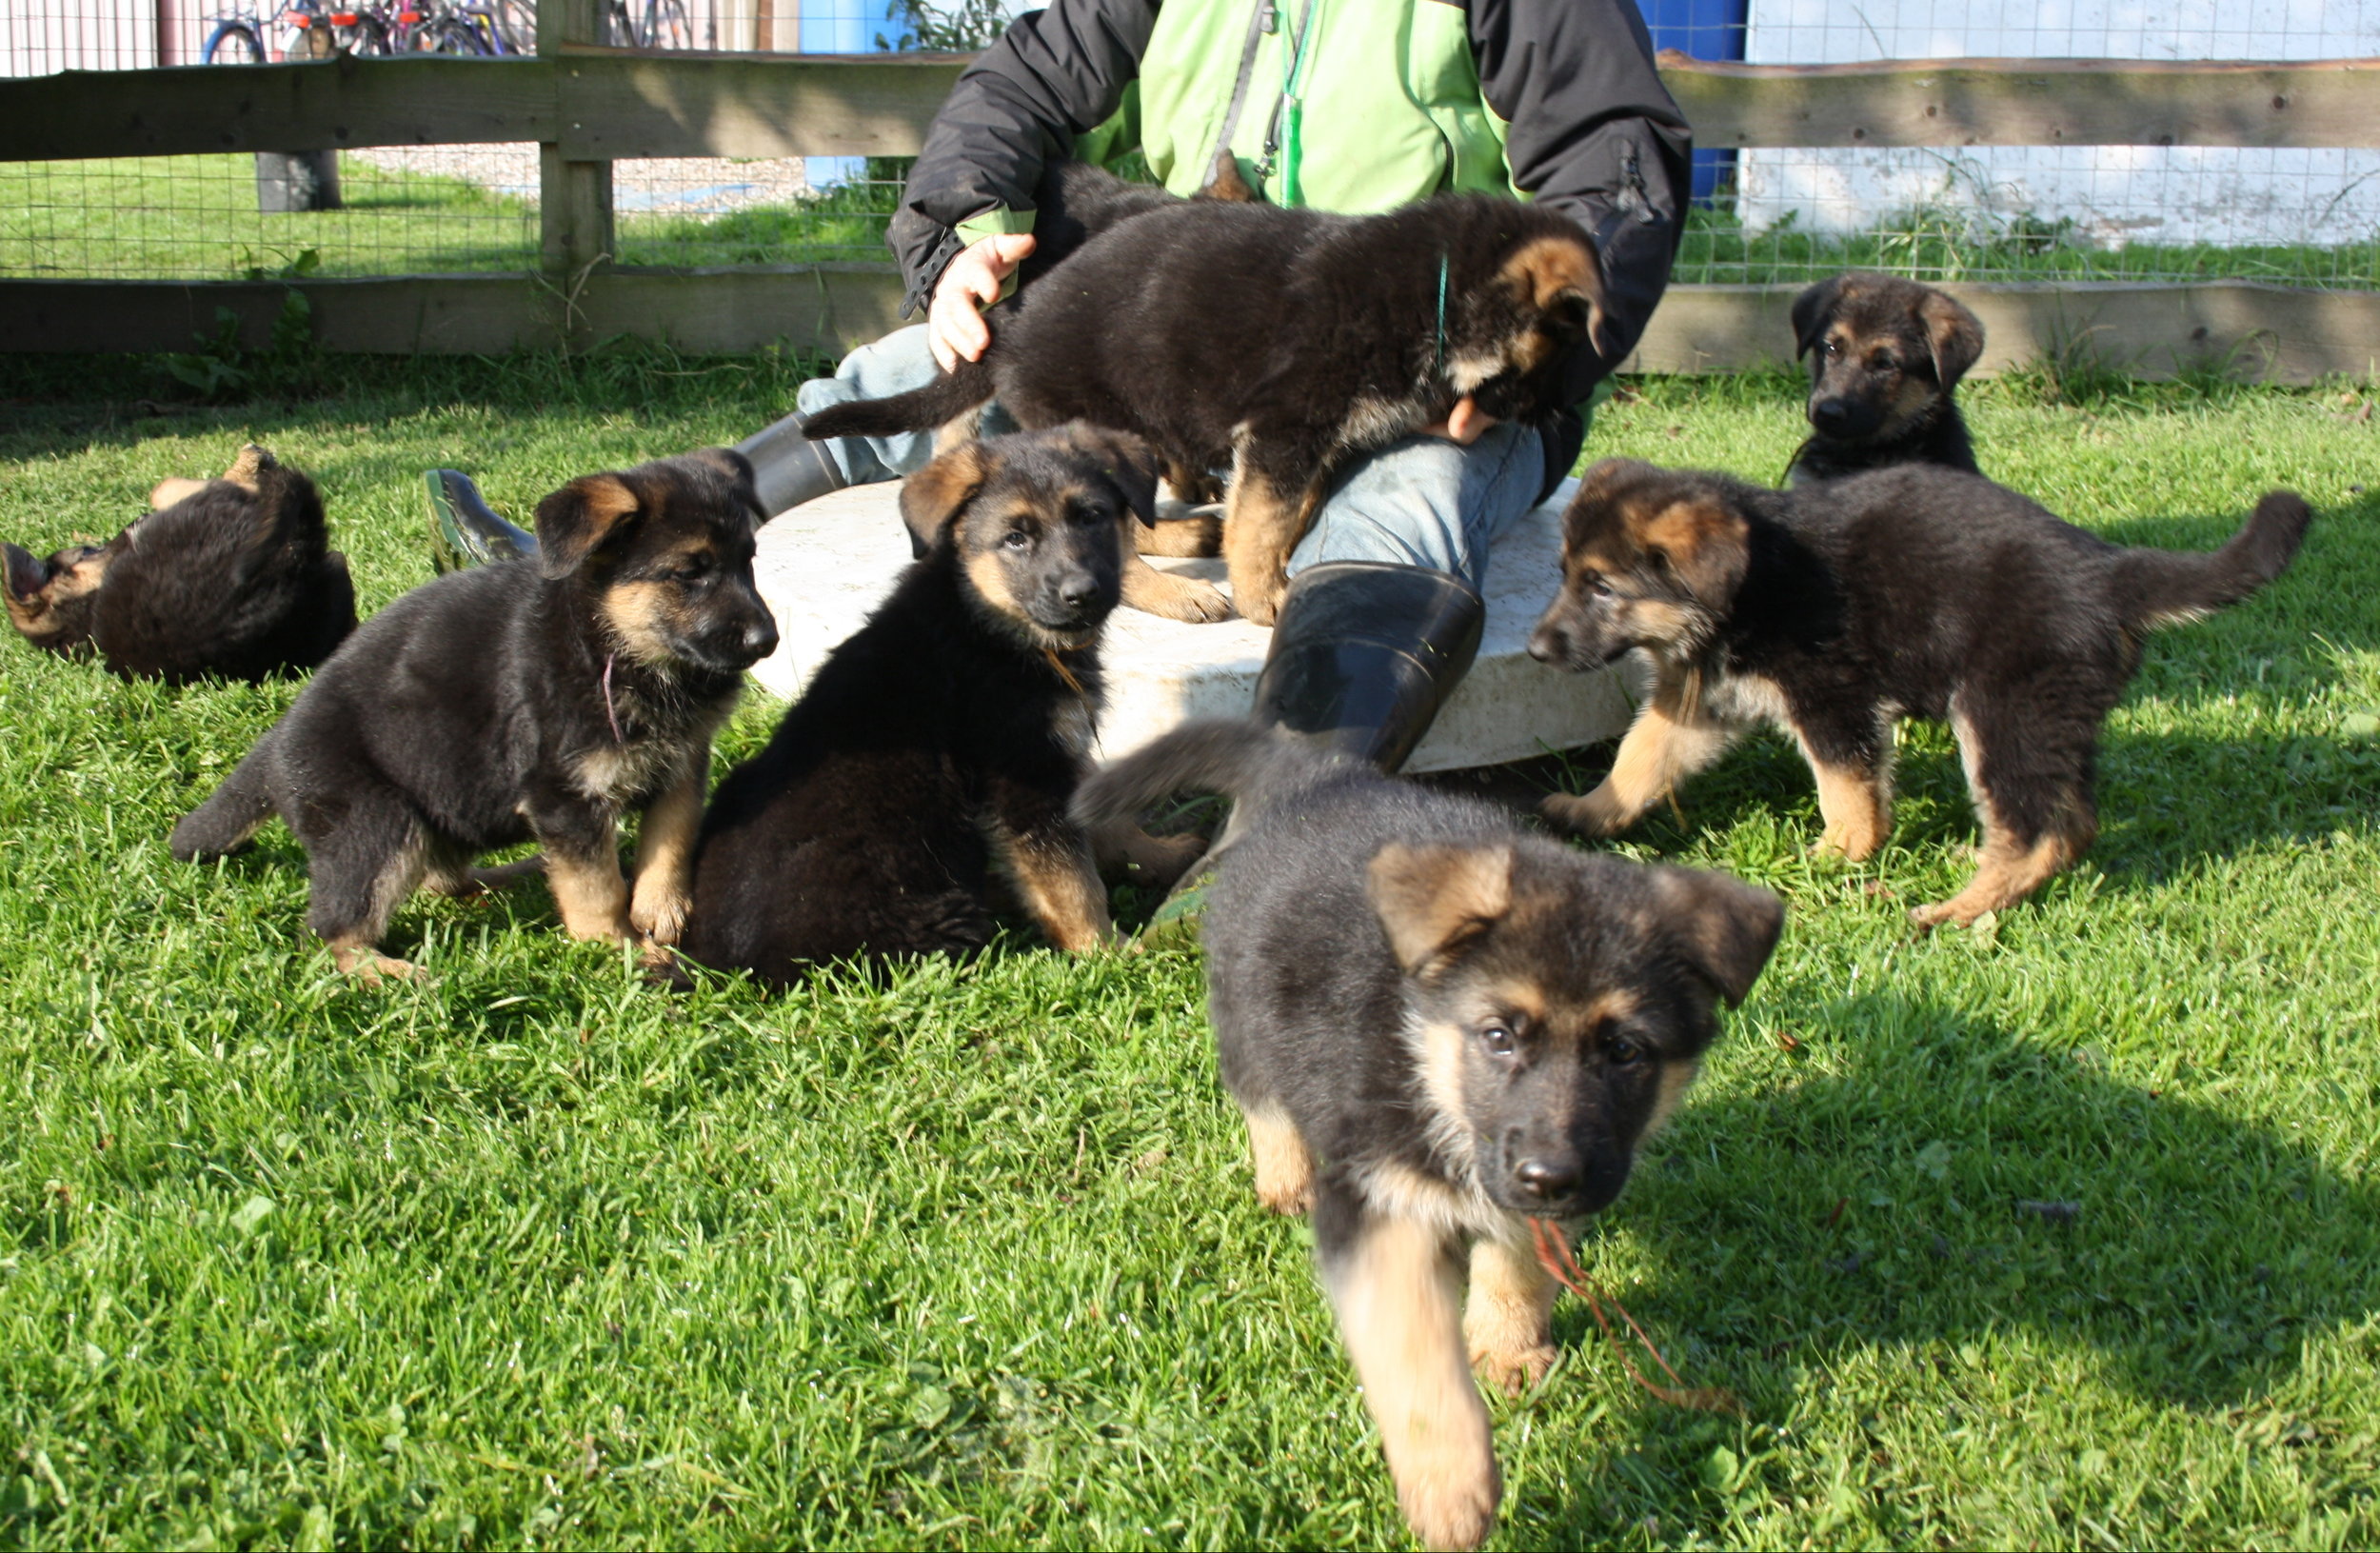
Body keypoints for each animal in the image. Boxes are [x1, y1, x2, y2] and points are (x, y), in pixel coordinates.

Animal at [172, 452, 781, 981]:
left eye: (748, 562)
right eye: (689, 573)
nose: (768, 641)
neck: (612, 644)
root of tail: (276, 742)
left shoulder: (680, 764)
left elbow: (670, 840)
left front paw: (661, 911)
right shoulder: (562, 796)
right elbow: (596, 888)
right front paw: (619, 946)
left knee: (439, 880)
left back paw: (506, 879)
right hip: (375, 824)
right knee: (329, 933)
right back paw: (389, 972)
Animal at [1071, 719, 1780, 1553]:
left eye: (1626, 1050)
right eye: (1499, 1035)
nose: (1553, 1176)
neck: (1427, 1067)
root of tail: (1317, 775)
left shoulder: (1521, 1185)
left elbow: (1515, 1263)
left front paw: (1507, 1347)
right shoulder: (1377, 1207)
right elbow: (1415, 1353)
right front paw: (1451, 1488)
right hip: (1247, 1009)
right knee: (1261, 1096)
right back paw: (1284, 1176)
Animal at [1523, 454, 2304, 928]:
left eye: (1602, 587)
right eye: (1563, 575)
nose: (1534, 651)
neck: (1745, 588)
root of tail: (2109, 575)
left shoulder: (1833, 699)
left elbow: (1847, 789)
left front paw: (1834, 857)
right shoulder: (1700, 699)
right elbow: (1640, 757)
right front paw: (1591, 810)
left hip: (2003, 710)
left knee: (2042, 828)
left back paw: (1958, 910)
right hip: (2051, 717)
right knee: (2068, 817)